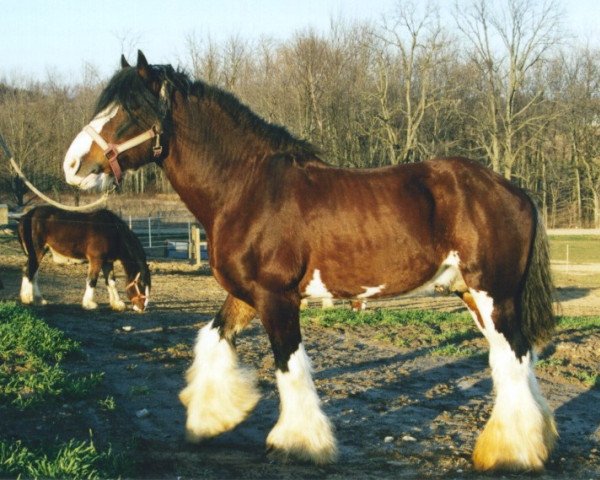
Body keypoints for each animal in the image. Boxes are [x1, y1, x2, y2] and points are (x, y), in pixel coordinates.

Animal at [18, 205, 151, 312]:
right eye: (141, 283)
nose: (142, 308)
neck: (112, 230)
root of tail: (29, 214)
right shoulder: (96, 260)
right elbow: (92, 280)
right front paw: (89, 304)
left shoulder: (107, 262)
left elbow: (111, 281)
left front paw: (117, 304)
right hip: (37, 251)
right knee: (29, 271)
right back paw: (28, 298)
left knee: (31, 272)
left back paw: (37, 300)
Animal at [62, 50, 556, 470]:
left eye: (129, 111)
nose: (72, 166)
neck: (248, 189)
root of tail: (513, 190)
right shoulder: (246, 295)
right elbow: (214, 339)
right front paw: (209, 419)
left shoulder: (277, 297)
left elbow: (290, 366)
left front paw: (299, 443)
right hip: (471, 293)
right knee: (513, 358)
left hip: (493, 293)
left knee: (513, 358)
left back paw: (512, 452)